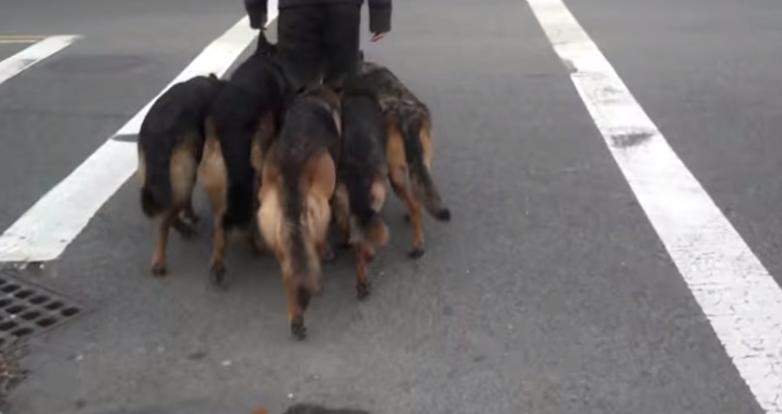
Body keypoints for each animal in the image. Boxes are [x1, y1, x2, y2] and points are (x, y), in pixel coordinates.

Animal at [137, 73, 227, 276]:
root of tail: (158, 131)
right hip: (186, 172)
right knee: (167, 217)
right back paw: (162, 259)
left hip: (162, 178)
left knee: (168, 211)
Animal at [199, 31, 292, 289]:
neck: (265, 57)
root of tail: (233, 119)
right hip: (257, 165)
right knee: (251, 210)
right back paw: (256, 245)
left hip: (215, 173)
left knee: (221, 221)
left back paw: (219, 264)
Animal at [257, 83, 342, 340]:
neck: (314, 97)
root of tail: (290, 168)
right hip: (320, 208)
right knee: (316, 246)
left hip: (273, 223)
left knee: (290, 274)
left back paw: (296, 318)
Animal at [346, 61, 451, 258]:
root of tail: (408, 117)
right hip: (420, 165)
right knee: (417, 198)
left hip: (395, 174)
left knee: (414, 206)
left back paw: (418, 245)